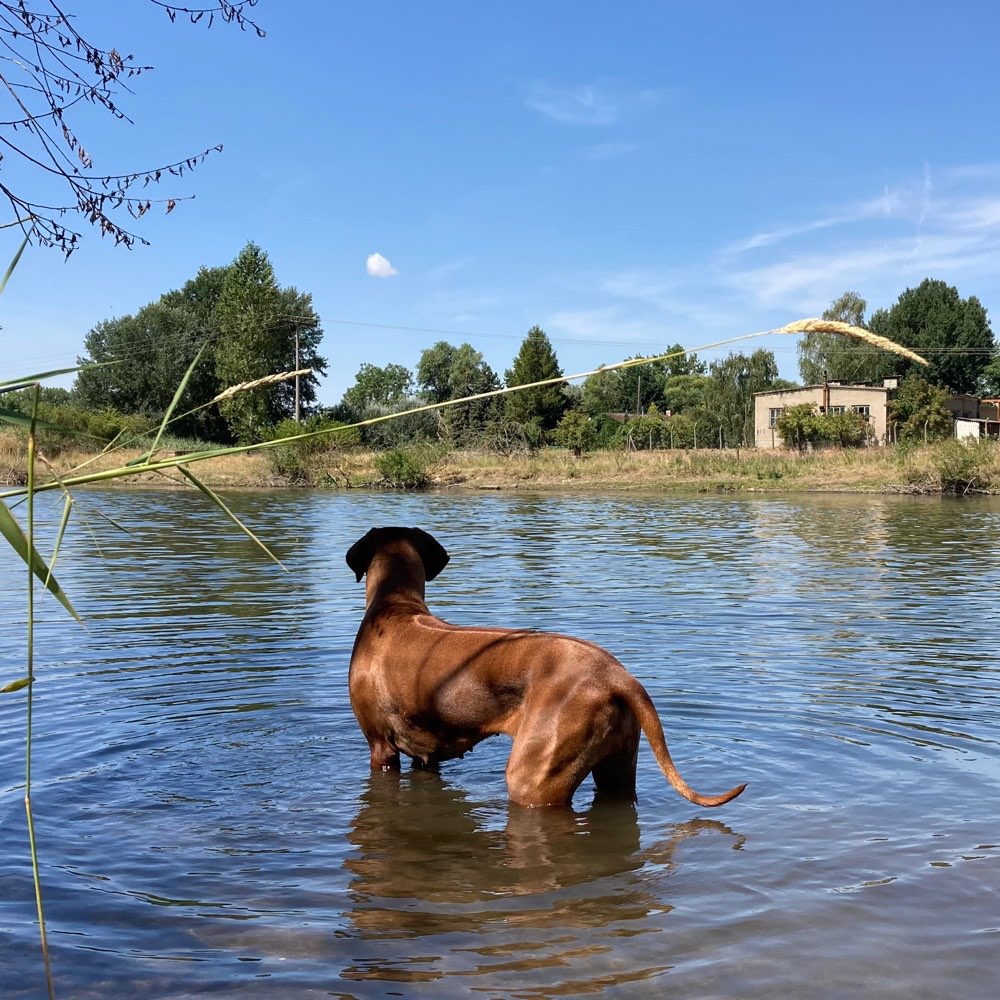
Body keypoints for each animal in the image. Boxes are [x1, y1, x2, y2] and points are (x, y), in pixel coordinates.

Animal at [344, 528, 744, 808]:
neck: (395, 603)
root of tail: (617, 675)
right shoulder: (426, 755)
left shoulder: (381, 748)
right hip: (617, 766)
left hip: (534, 777)